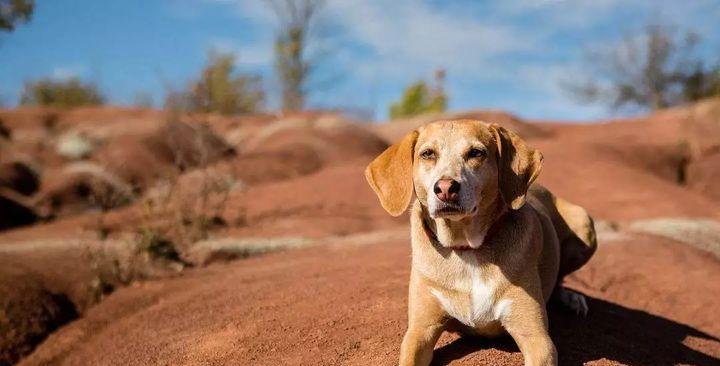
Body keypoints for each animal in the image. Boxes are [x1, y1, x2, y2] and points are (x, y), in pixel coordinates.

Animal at [366, 120, 596, 366]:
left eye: (476, 153)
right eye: (427, 154)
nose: (445, 188)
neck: (467, 248)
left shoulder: (536, 337)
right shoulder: (420, 331)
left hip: (584, 222)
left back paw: (572, 299)